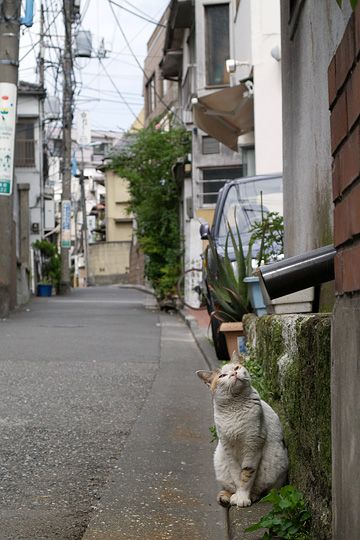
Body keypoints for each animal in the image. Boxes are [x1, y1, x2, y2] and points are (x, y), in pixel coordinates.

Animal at [195, 352, 288, 508]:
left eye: (236, 367)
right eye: (222, 376)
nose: (234, 373)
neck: (235, 406)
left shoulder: (252, 446)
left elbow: (246, 476)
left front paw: (243, 498)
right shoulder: (228, 449)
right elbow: (237, 476)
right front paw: (238, 496)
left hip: (275, 464)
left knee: (262, 490)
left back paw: (252, 496)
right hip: (219, 461)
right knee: (230, 487)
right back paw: (227, 497)